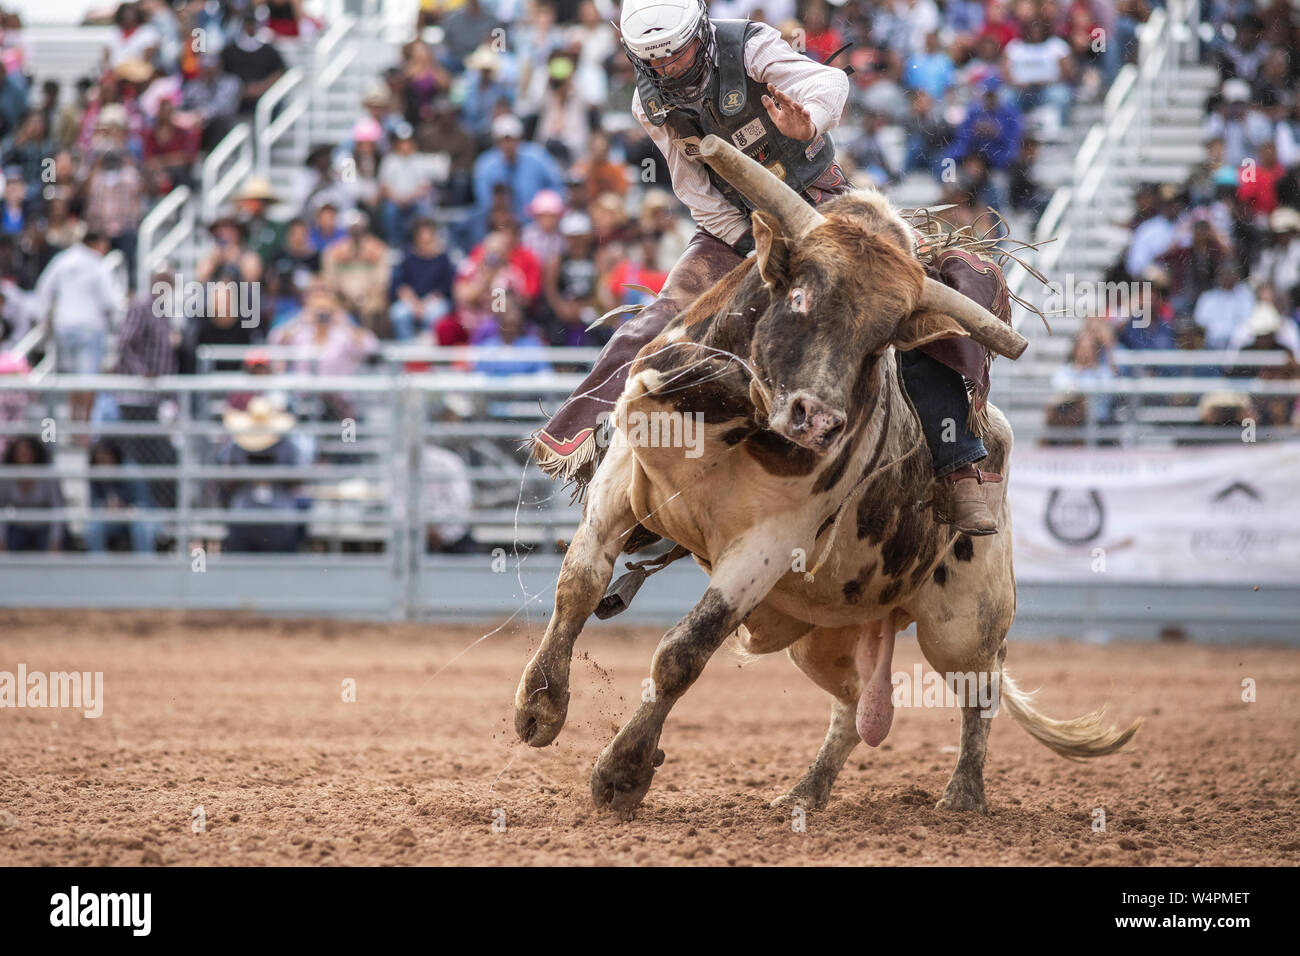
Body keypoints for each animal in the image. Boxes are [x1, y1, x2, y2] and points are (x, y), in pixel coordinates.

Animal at [509, 136, 1138, 822]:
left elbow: (684, 651)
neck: (728, 426)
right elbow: (579, 585)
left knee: (982, 691)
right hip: (825, 632)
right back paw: (807, 790)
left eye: (881, 339)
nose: (818, 420)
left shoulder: (767, 544)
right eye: (800, 297)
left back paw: (963, 794)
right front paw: (540, 706)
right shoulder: (620, 484)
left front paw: (622, 773)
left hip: (965, 621)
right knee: (852, 703)